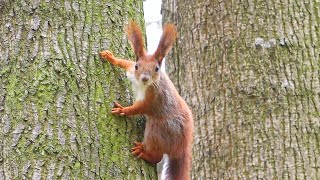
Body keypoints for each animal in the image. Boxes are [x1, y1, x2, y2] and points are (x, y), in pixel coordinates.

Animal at [99, 21, 194, 180]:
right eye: (137, 66)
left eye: (156, 69)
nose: (144, 78)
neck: (142, 85)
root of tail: (183, 145)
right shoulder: (131, 70)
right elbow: (125, 63)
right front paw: (110, 57)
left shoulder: (153, 97)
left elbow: (139, 108)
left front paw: (123, 110)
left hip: (161, 129)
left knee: (158, 155)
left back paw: (145, 153)